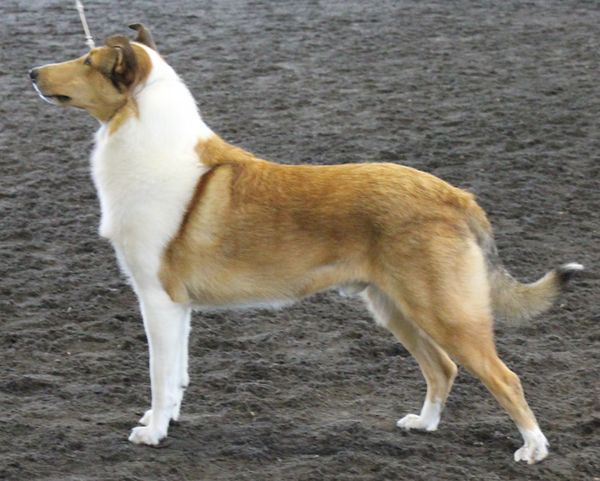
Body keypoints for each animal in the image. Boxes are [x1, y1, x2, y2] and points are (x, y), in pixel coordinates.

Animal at [29, 25, 580, 462]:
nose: (33, 72)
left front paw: (153, 433)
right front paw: (165, 420)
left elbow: (160, 376)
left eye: (88, 62)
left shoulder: (157, 299)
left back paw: (533, 448)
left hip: (444, 310)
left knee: (503, 377)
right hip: (394, 307)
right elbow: (178, 374)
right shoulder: (177, 306)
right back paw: (423, 425)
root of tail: (458, 197)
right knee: (442, 368)